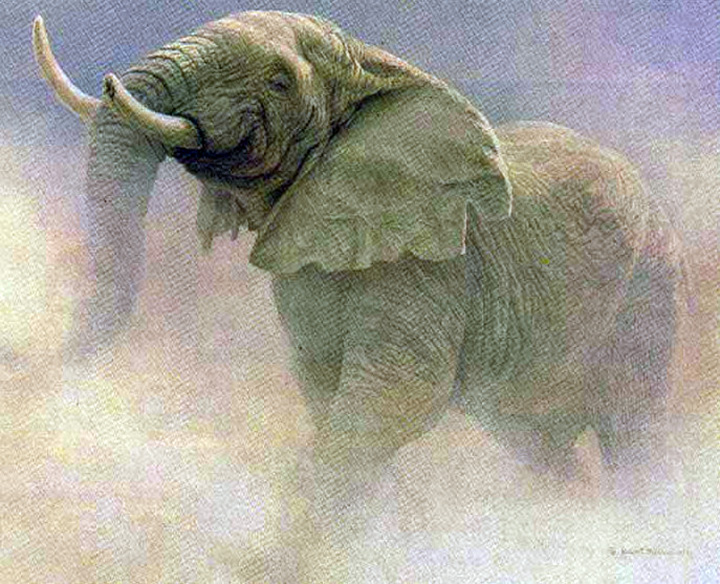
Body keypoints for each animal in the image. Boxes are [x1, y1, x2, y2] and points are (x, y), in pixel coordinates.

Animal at [34, 10, 682, 578]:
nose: (30, 365)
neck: (372, 66)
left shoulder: (430, 263)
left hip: (648, 289)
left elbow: (394, 395)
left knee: (631, 432)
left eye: (279, 79)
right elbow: (328, 392)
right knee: (537, 444)